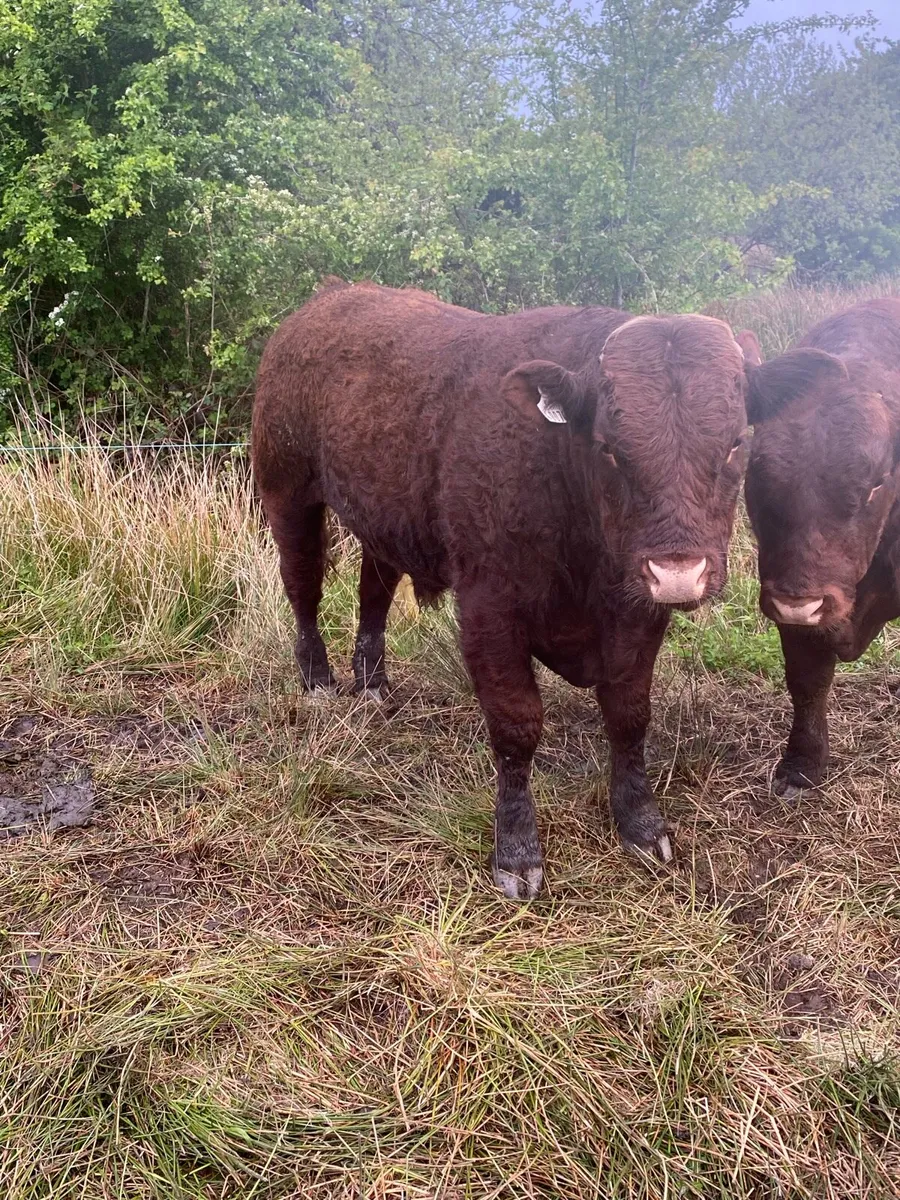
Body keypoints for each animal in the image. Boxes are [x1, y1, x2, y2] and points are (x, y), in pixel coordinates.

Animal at [252, 280, 765, 899]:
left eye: (737, 442)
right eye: (609, 447)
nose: (678, 572)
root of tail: (327, 299)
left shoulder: (638, 616)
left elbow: (629, 715)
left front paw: (641, 823)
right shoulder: (488, 610)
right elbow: (517, 726)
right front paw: (518, 852)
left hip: (383, 519)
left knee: (374, 590)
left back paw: (372, 683)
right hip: (288, 492)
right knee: (302, 585)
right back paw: (318, 681)